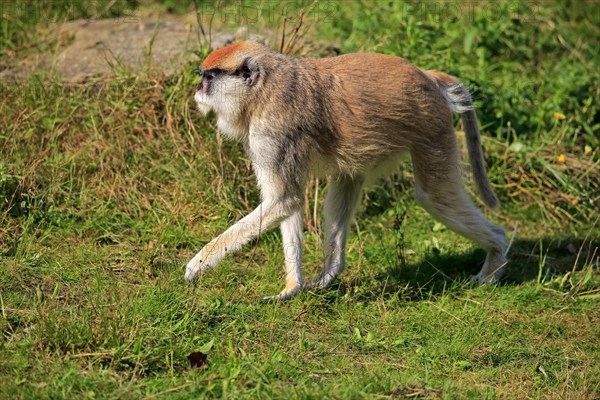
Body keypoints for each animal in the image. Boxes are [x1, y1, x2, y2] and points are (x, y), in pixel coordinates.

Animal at [184, 41, 506, 300]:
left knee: (434, 196)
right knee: (347, 180)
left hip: (431, 126)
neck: (264, 88)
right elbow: (289, 202)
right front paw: (291, 288)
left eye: (209, 77)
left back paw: (495, 259)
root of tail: (426, 76)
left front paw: (198, 263)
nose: (198, 89)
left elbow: (283, 201)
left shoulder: (272, 133)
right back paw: (331, 272)